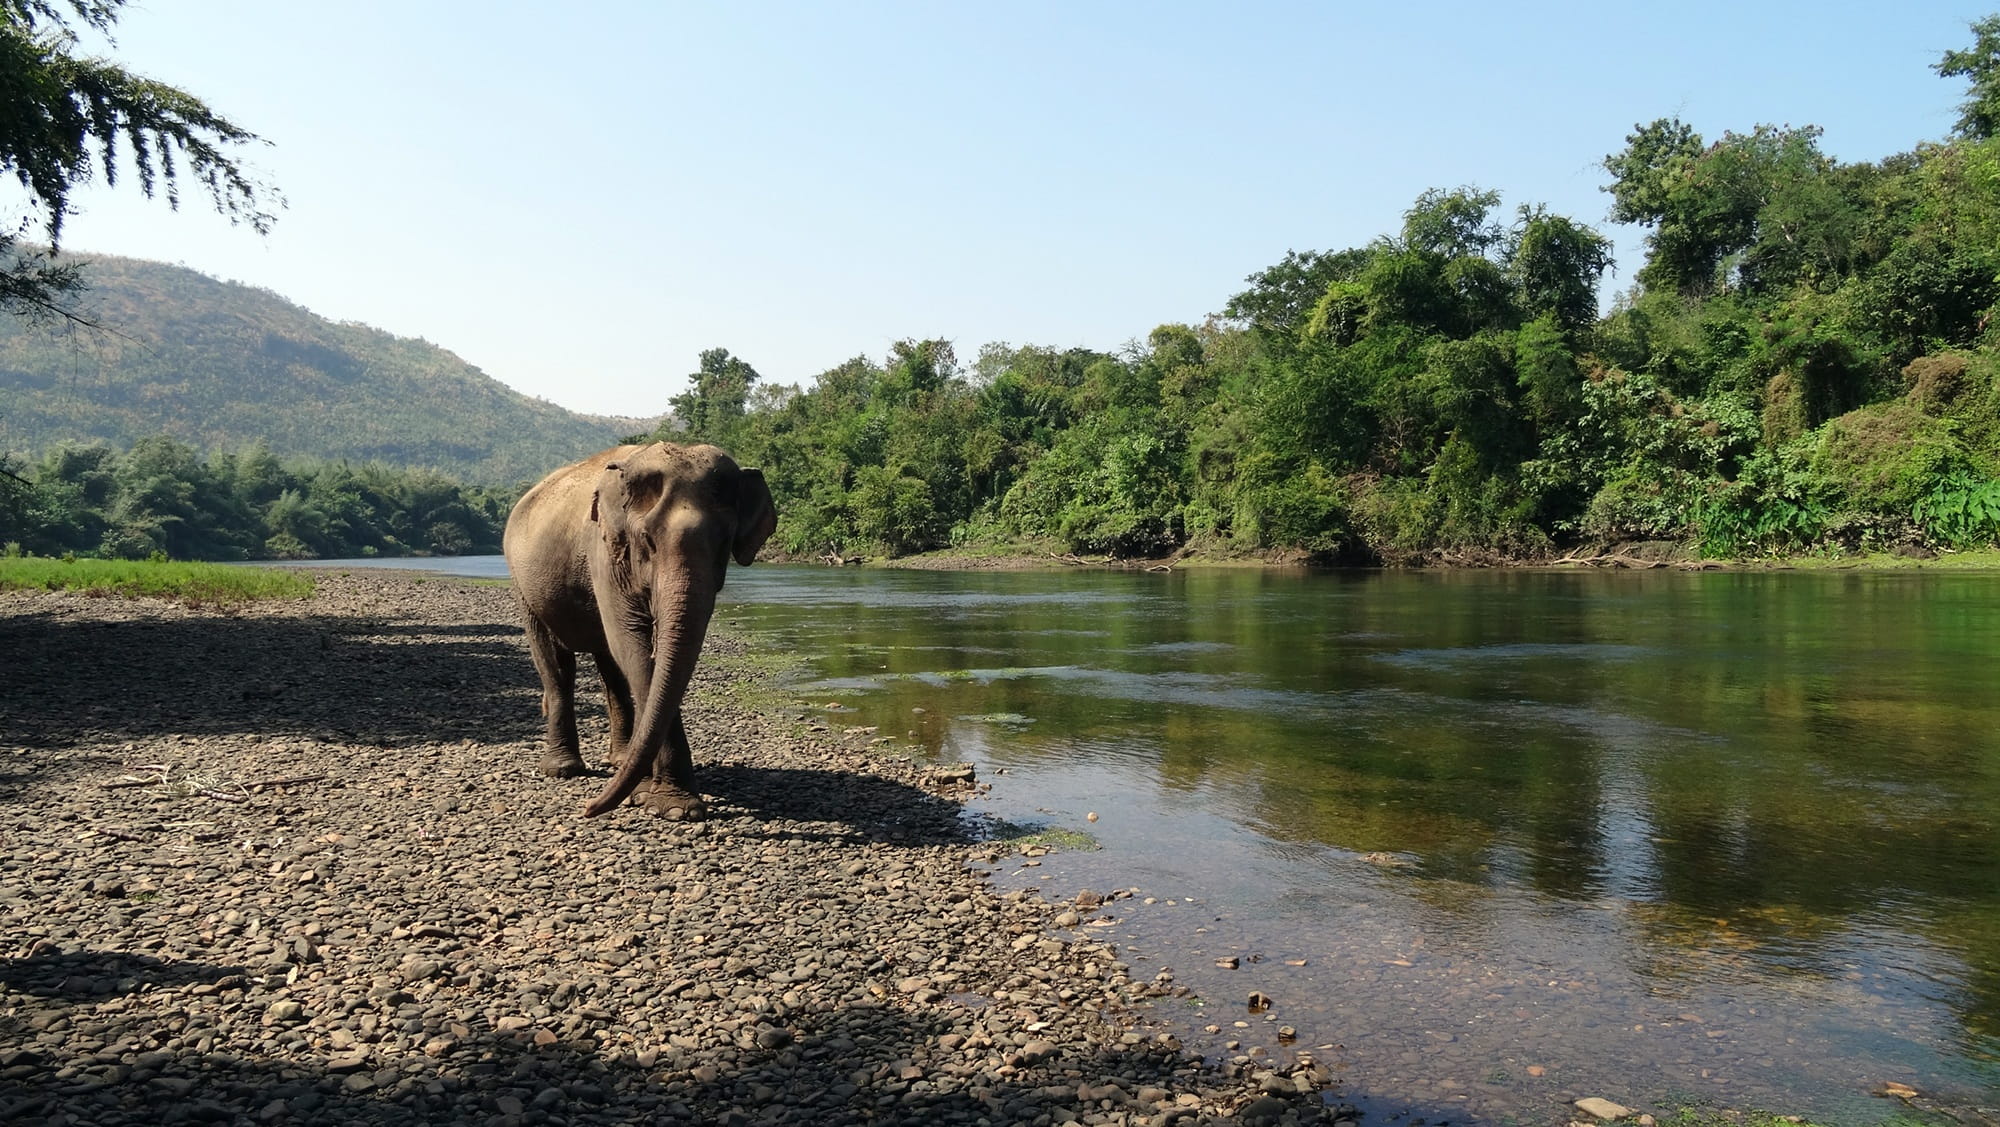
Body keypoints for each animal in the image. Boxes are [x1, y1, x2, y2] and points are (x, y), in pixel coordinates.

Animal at [503, 442, 777, 819]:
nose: (589, 808)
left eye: (723, 543)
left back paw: (620, 760)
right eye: (647, 540)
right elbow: (632, 643)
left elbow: (642, 654)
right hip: (523, 585)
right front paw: (673, 806)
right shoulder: (603, 550)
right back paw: (563, 769)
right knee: (555, 663)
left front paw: (662, 799)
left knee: (610, 666)